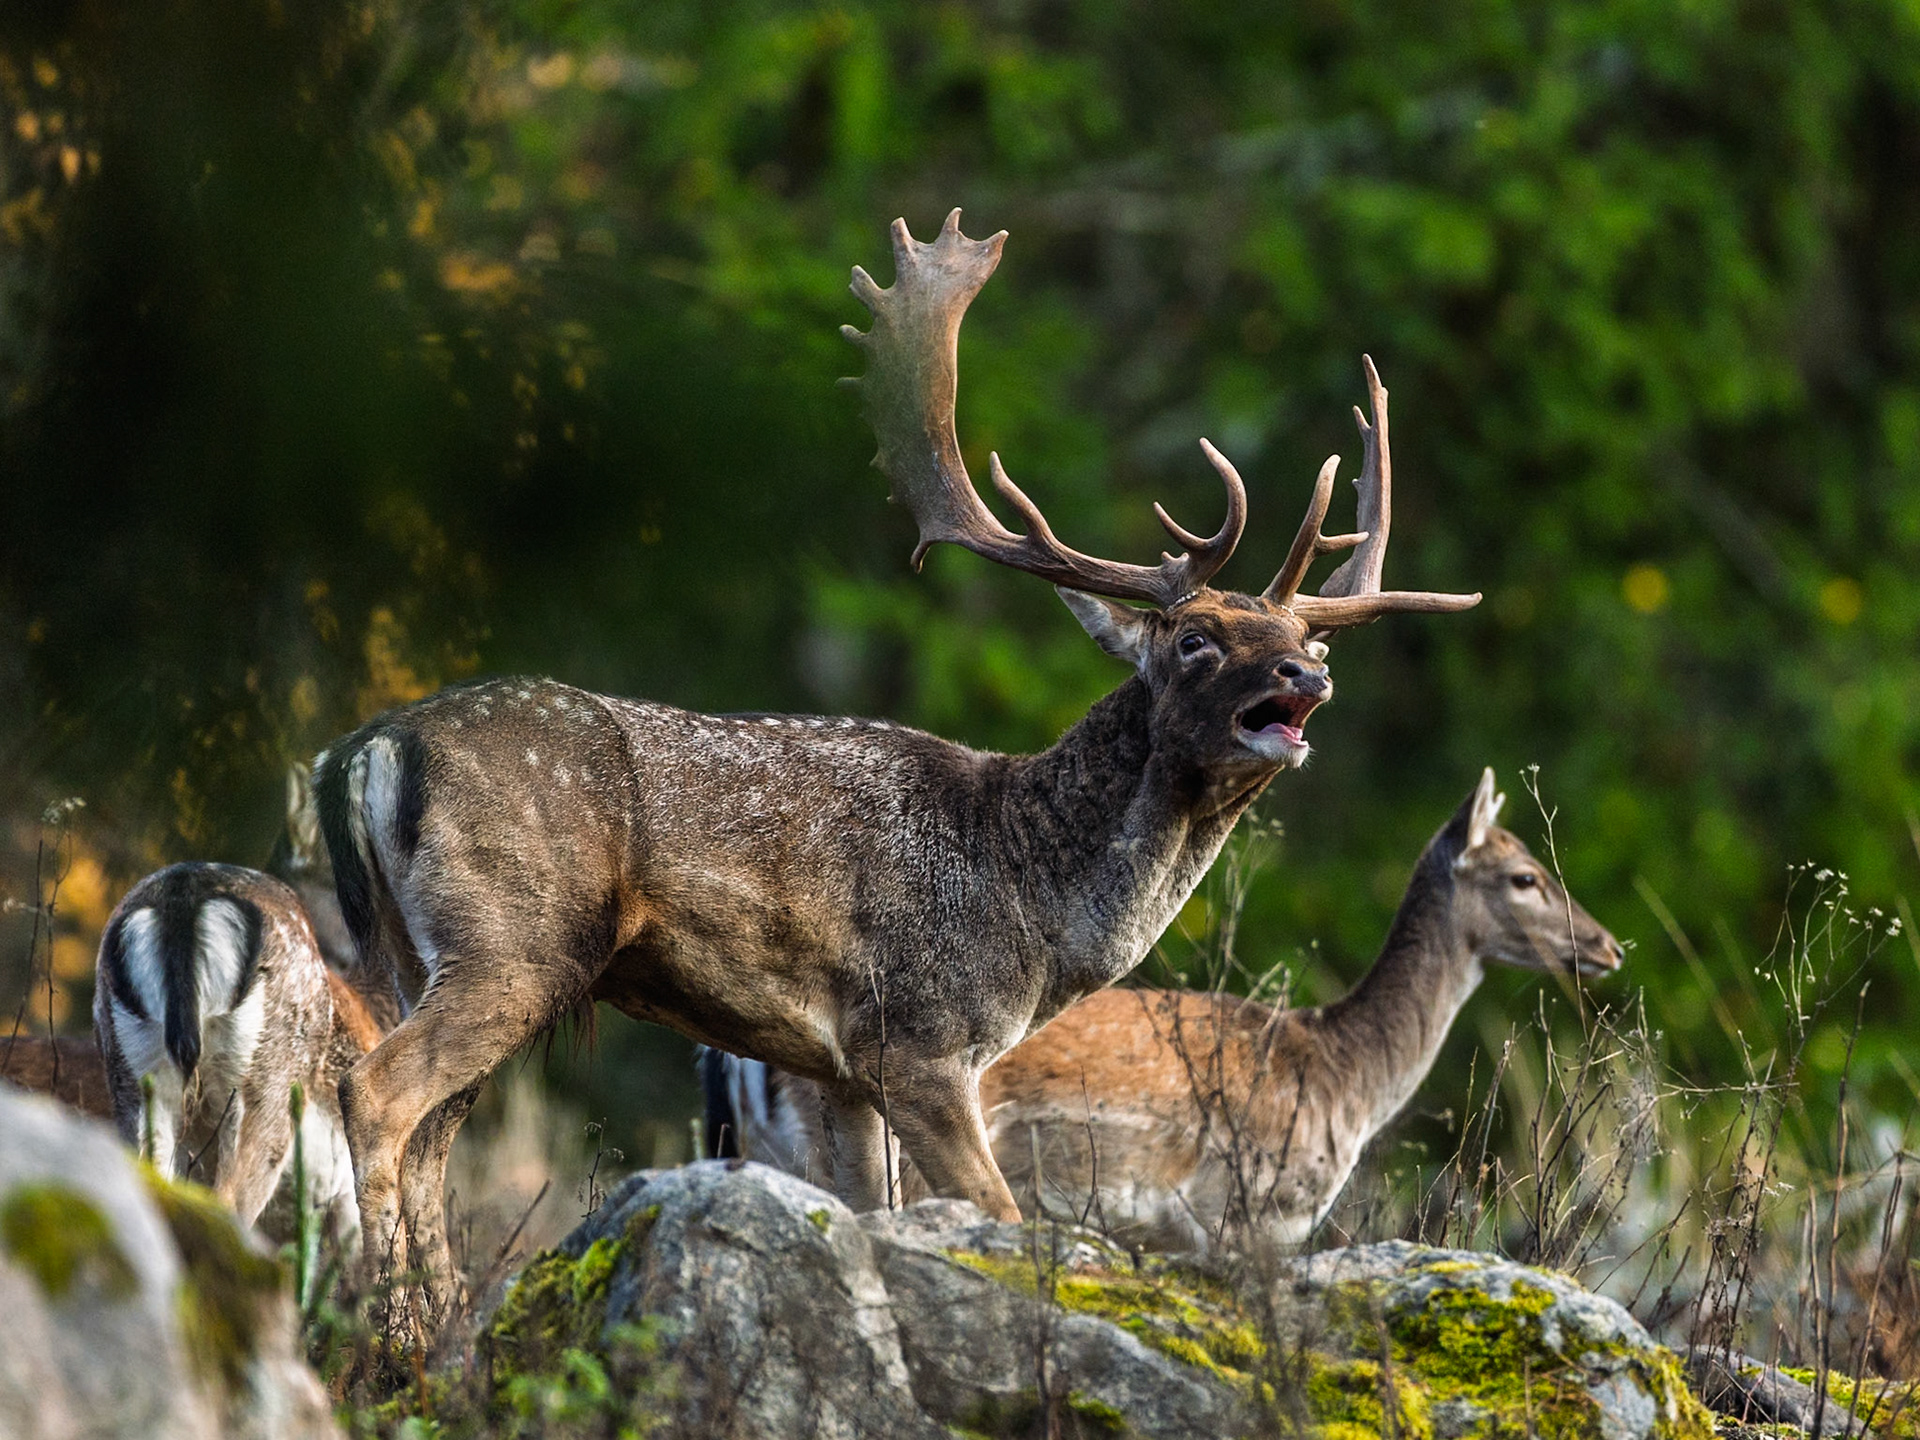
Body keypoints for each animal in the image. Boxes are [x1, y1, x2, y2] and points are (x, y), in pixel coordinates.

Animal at [311, 208, 1480, 1318]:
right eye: (1194, 638)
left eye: (1312, 639)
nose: (1304, 676)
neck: (1030, 901)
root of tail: (363, 750)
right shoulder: (917, 1040)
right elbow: (996, 1216)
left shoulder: (833, 1070)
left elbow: (872, 1218)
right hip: (515, 939)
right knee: (375, 1094)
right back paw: (388, 1330)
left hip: (423, 954)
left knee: (430, 1130)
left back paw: (433, 1328)